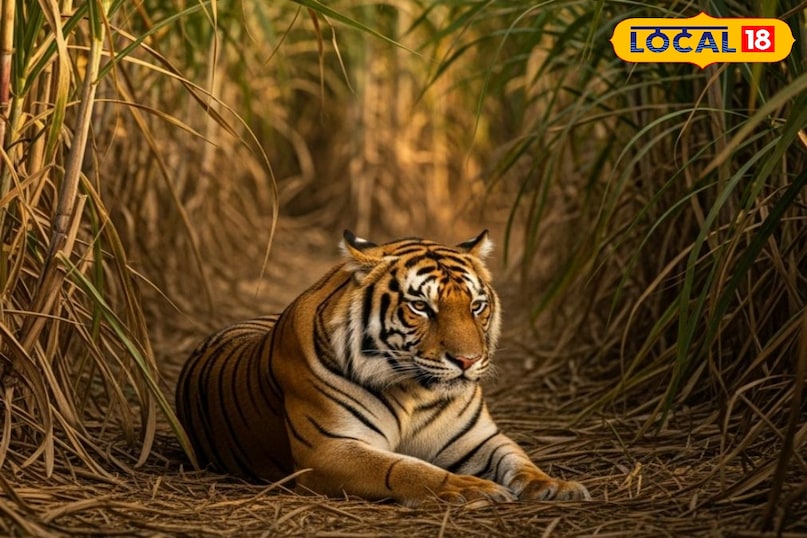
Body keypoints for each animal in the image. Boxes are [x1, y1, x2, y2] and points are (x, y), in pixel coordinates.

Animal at [175, 230, 590, 506]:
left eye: (476, 306)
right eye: (421, 307)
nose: (468, 361)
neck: (416, 392)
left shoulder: (477, 439)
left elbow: (518, 459)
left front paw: (555, 485)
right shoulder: (330, 449)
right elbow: (406, 469)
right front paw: (469, 488)